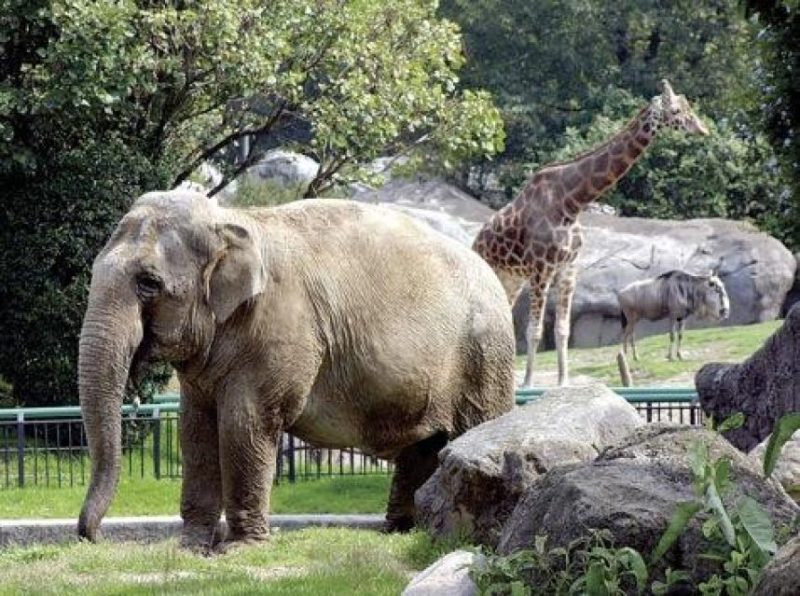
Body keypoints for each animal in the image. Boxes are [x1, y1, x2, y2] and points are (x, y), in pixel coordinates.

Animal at [77, 190, 515, 550]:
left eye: (149, 283)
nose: (94, 538)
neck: (233, 219)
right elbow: (195, 429)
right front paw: (189, 548)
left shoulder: (282, 328)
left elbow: (246, 422)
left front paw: (239, 549)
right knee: (423, 445)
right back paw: (400, 532)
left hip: (484, 358)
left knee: (470, 428)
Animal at [473, 80, 709, 387]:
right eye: (677, 111)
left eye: (689, 106)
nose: (703, 129)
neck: (571, 202)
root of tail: (475, 241)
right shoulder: (541, 269)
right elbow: (534, 330)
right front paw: (527, 383)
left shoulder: (568, 268)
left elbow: (561, 329)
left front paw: (563, 382)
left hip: (512, 279)